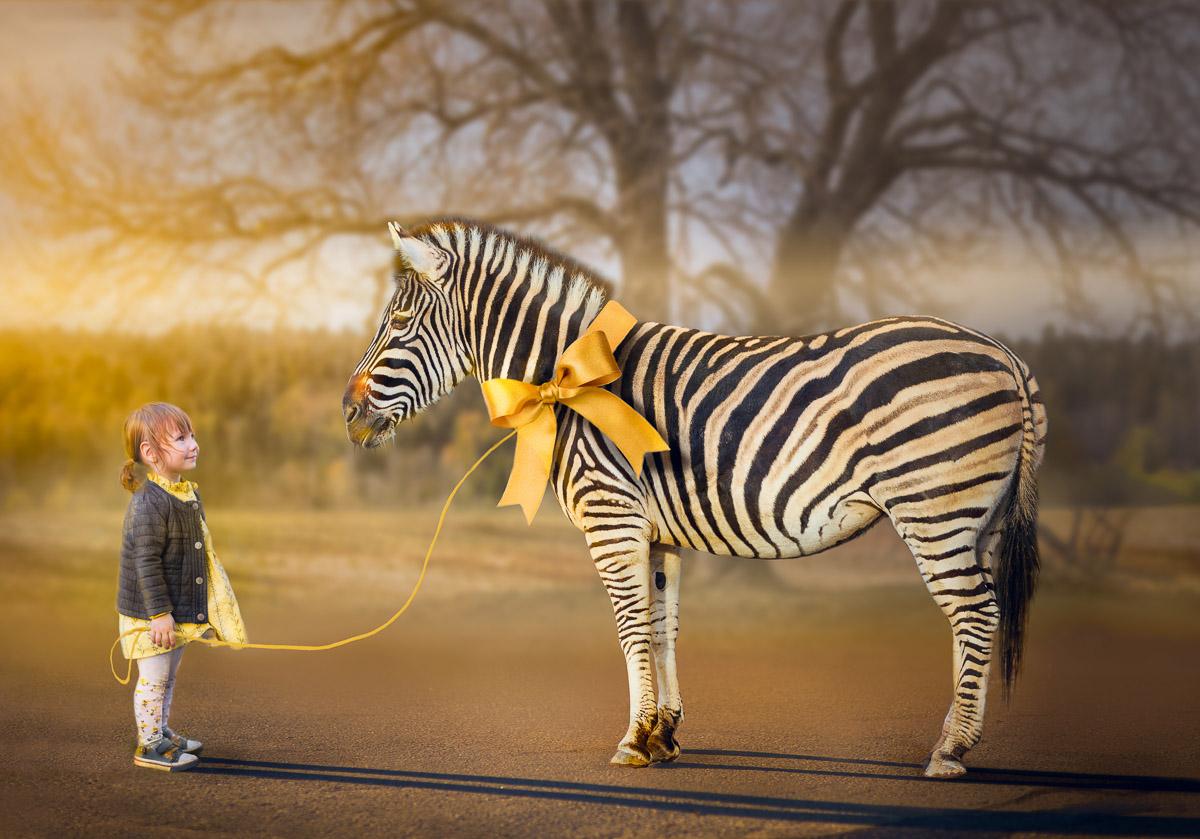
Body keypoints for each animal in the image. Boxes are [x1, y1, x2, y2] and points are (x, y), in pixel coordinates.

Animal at [342, 217, 1047, 778]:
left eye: (398, 322)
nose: (346, 413)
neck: (566, 381)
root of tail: (1006, 354)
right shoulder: (657, 532)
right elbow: (663, 625)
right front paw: (663, 734)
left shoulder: (613, 518)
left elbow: (630, 625)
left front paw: (633, 740)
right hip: (975, 518)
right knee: (977, 615)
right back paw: (960, 737)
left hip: (935, 506)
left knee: (973, 614)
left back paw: (951, 750)